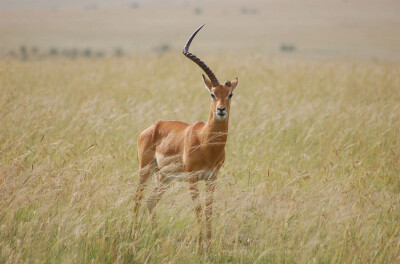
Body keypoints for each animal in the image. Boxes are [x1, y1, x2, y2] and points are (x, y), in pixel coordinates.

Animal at [132, 24, 238, 248]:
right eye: (212, 94)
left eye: (230, 94)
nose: (221, 110)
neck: (207, 143)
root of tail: (152, 127)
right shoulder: (192, 178)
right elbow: (197, 209)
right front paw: (199, 245)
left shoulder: (212, 178)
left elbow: (209, 210)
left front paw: (209, 244)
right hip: (145, 170)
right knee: (137, 198)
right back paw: (133, 234)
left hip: (163, 177)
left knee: (150, 201)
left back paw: (156, 236)